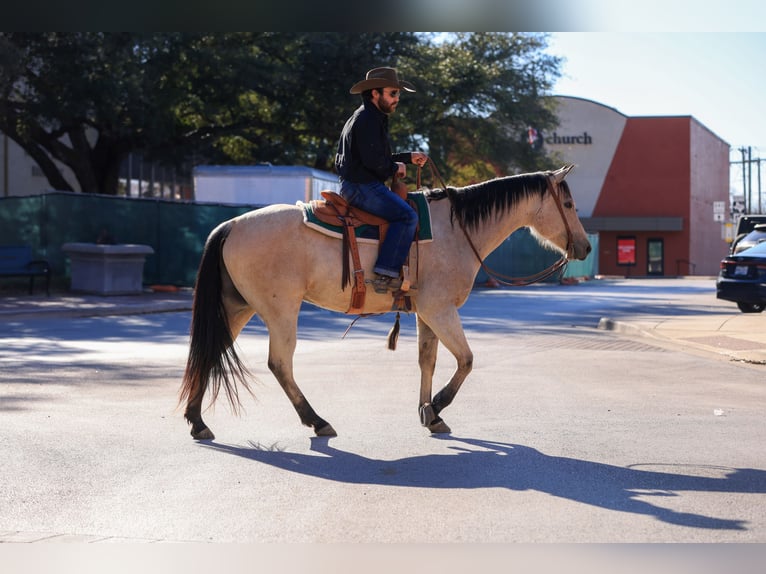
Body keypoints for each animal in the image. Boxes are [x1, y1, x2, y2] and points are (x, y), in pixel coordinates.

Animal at [180, 164, 592, 444]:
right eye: (568, 202)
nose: (586, 247)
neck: (458, 230)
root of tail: (231, 225)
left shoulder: (427, 313)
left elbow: (428, 361)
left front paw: (429, 413)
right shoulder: (441, 309)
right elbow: (466, 360)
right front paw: (438, 405)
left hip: (236, 308)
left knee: (210, 353)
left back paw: (198, 422)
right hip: (281, 311)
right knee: (279, 364)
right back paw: (317, 421)